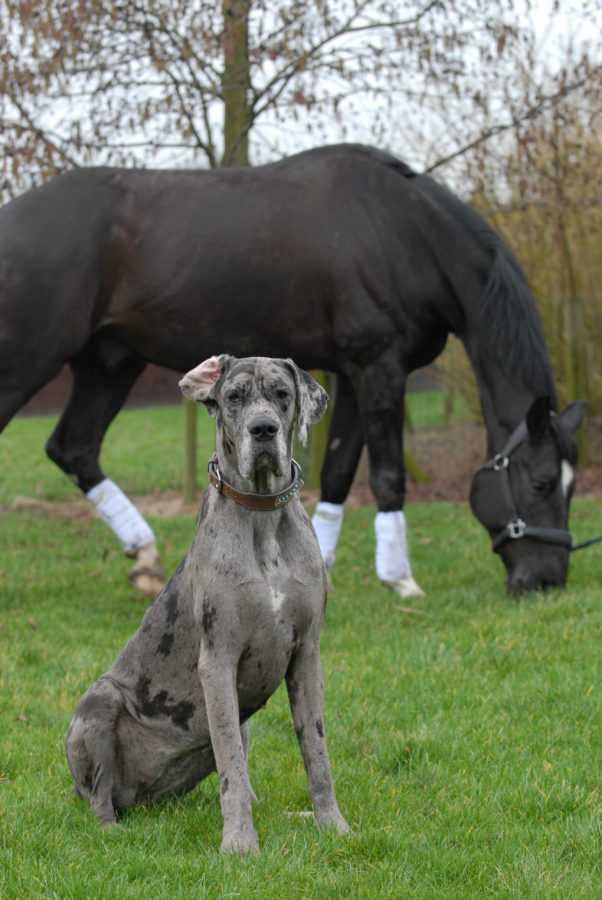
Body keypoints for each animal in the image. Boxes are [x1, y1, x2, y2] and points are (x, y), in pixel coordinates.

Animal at [0, 146, 580, 596]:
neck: (400, 232)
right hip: (29, 362)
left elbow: (340, 470)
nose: (547, 581)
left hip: (110, 364)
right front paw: (401, 580)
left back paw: (145, 557)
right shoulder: (378, 368)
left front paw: (318, 562)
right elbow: (388, 477)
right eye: (544, 482)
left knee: (73, 447)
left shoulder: (352, 374)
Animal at [65, 356, 346, 856]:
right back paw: (112, 831)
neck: (262, 516)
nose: (262, 429)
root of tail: (140, 798)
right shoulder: (218, 662)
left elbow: (316, 753)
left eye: (282, 394)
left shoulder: (307, 656)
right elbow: (230, 763)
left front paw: (330, 823)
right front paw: (239, 844)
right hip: (98, 703)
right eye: (234, 396)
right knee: (99, 799)